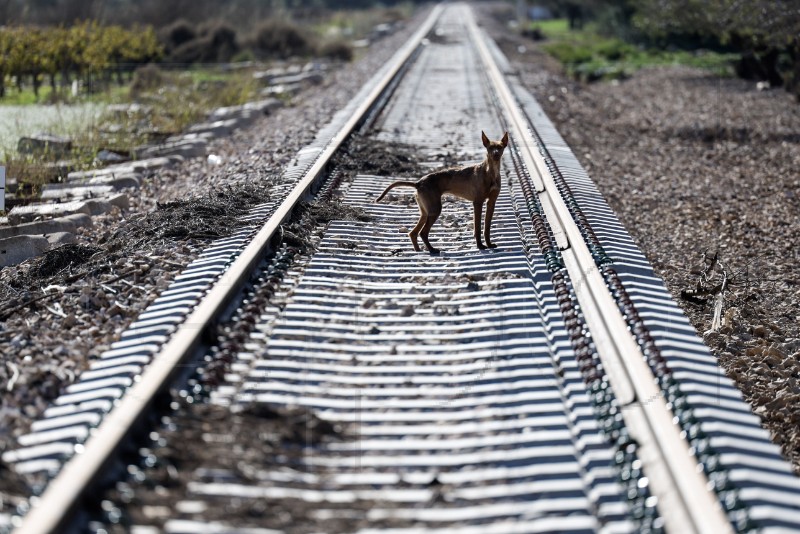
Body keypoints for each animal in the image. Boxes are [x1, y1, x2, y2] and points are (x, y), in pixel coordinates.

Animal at [376, 131, 506, 254]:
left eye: (500, 147)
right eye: (490, 147)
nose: (495, 154)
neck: (491, 172)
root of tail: (419, 182)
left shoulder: (491, 202)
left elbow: (487, 227)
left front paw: (489, 244)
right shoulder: (477, 203)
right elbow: (478, 228)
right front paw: (480, 246)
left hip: (425, 212)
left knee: (413, 233)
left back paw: (419, 250)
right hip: (435, 209)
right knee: (423, 233)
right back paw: (432, 250)